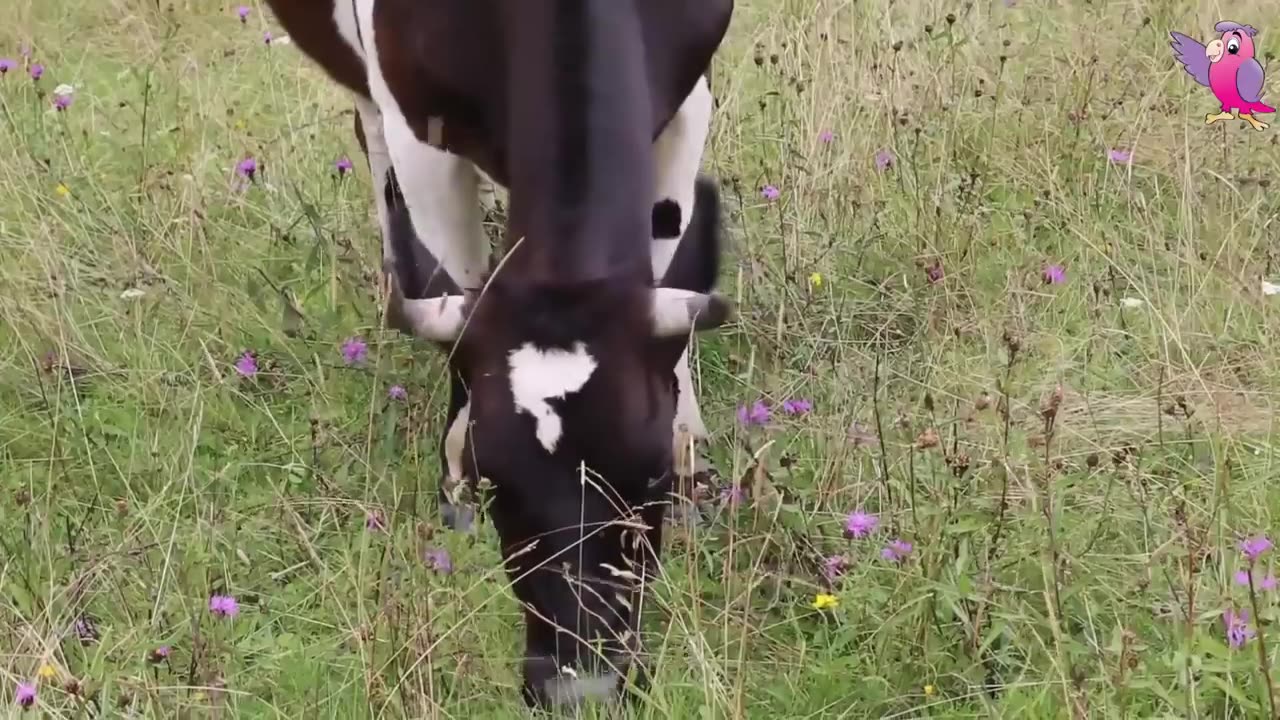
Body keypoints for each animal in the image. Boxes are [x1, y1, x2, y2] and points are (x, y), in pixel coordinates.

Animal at [261, 0, 737, 707]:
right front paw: (452, 480)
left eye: (650, 477)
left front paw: (692, 460)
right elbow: (456, 284)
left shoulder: (688, 96)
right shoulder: (416, 125)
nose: (579, 690)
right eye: (493, 484)